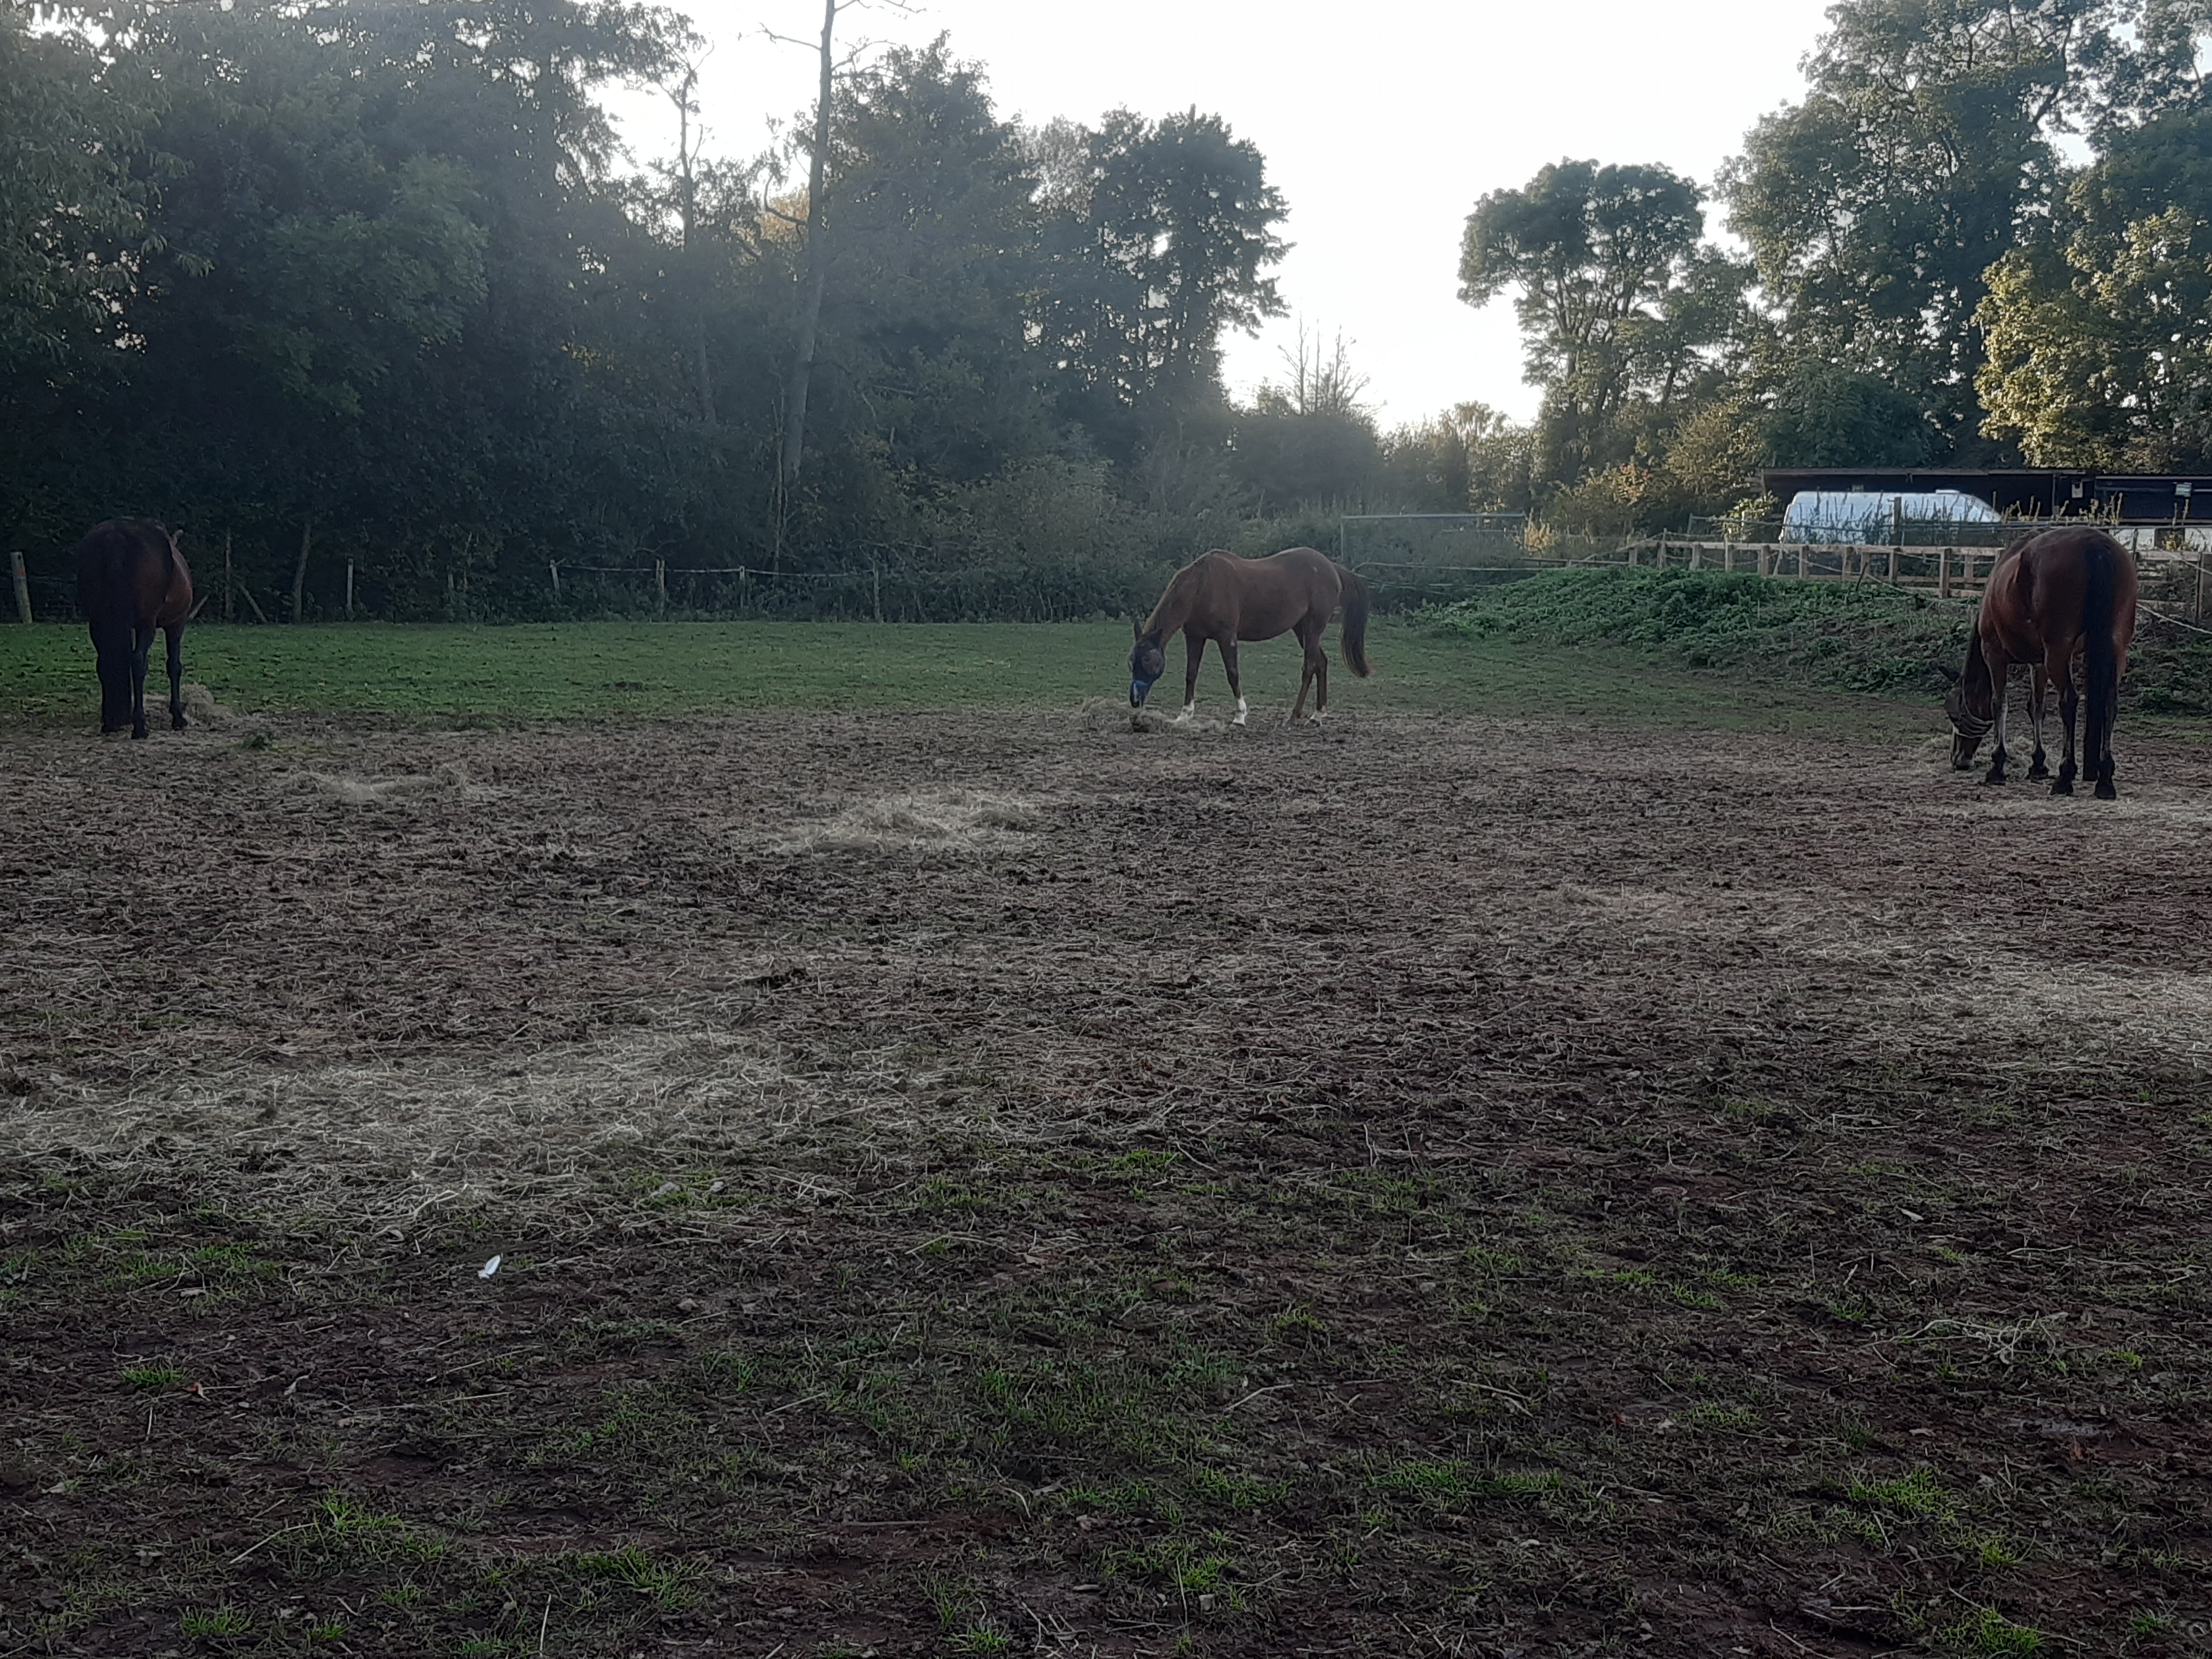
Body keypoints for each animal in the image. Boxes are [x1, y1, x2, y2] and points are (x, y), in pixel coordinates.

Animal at [75, 522, 194, 743]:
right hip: (145, 625)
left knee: (103, 664)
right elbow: (174, 667)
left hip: (98, 624)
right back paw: (139, 725)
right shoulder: (176, 624)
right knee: (138, 662)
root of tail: (115, 536)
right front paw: (178, 717)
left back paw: (110, 723)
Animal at [1132, 548, 1371, 725]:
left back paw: (1294, 716)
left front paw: (1240, 716)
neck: (1203, 586)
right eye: (1130, 661)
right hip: (1302, 630)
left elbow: (1233, 674)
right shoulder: (1194, 637)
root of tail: (1332, 568)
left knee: (1310, 666)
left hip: (1313, 628)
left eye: (1147, 660)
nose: (1135, 701)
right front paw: (1184, 715)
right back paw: (1317, 715)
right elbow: (1191, 674)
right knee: (1321, 662)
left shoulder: (1227, 637)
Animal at [1947, 526, 2132, 801]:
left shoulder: (1994, 652)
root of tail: (2095, 545)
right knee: (2110, 701)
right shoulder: (2039, 664)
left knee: (2068, 701)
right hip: (2116, 648)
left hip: (2058, 652)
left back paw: (2066, 776)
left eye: (1955, 716)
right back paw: (2105, 779)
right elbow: (2037, 707)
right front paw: (2038, 764)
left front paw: (1997, 766)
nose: (1957, 759)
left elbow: (1999, 704)